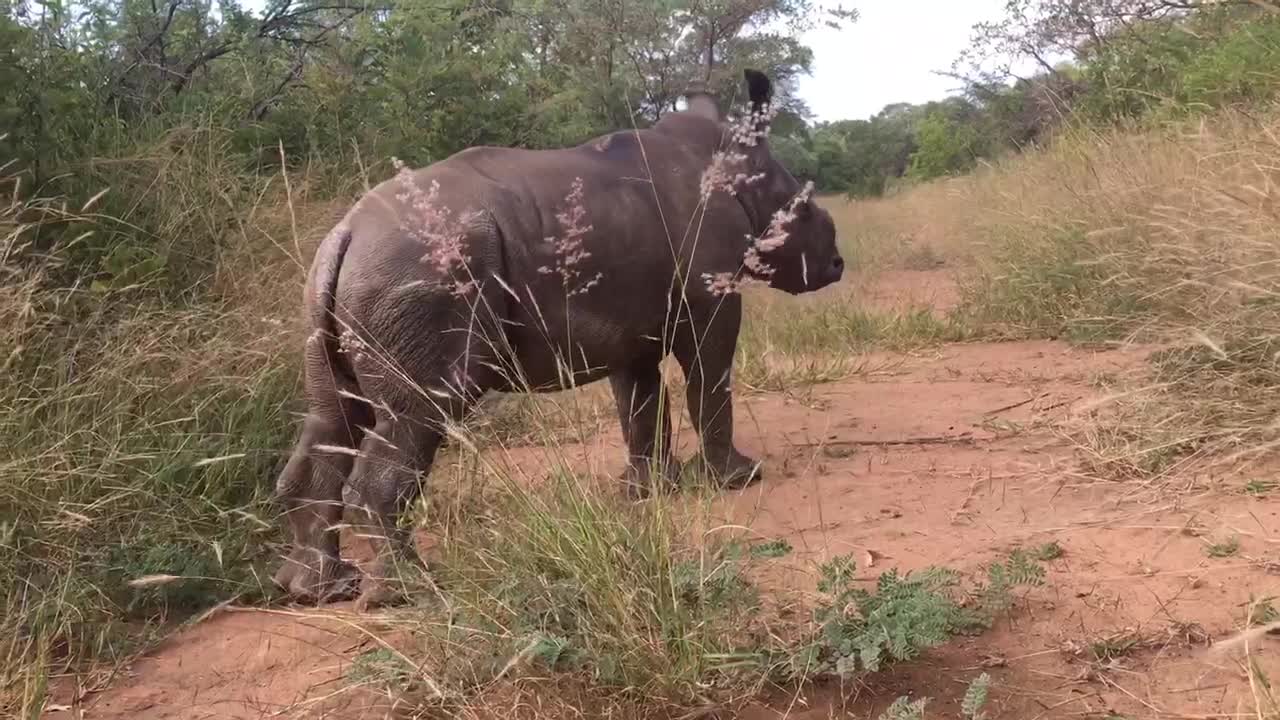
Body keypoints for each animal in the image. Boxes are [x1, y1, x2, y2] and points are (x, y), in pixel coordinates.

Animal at [272, 68, 839, 604]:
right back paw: (408, 591)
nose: (836, 264)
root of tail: (345, 234)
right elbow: (710, 377)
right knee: (418, 413)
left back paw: (319, 590)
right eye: (804, 208)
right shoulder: (710, 295)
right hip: (421, 272)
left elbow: (640, 403)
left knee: (333, 415)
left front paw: (649, 491)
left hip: (345, 283)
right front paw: (739, 479)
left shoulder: (629, 323)